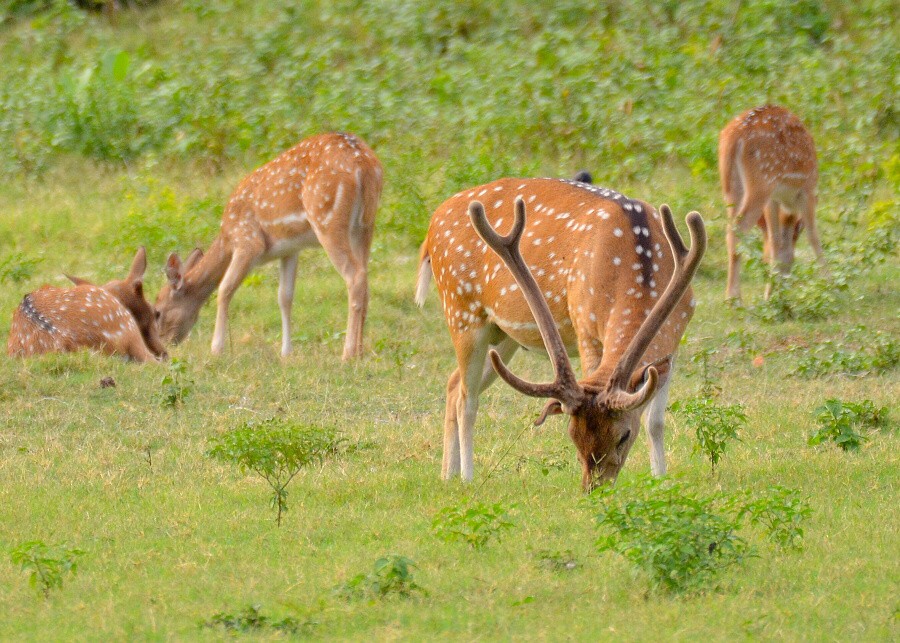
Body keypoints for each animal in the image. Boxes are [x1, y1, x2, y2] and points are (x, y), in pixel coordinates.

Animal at [156, 133, 382, 360]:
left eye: (157, 311)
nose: (163, 347)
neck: (226, 238)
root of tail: (363, 164)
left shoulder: (247, 241)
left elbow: (225, 289)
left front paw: (217, 348)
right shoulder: (290, 249)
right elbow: (285, 296)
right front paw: (286, 352)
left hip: (327, 218)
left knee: (355, 277)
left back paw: (348, 354)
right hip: (365, 225)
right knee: (365, 277)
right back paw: (360, 351)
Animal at [418, 179, 708, 490]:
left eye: (624, 436)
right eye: (572, 434)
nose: (594, 489)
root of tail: (432, 223)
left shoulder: (674, 338)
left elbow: (655, 421)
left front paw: (661, 480)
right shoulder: (586, 327)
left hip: (503, 337)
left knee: (453, 383)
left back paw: (447, 473)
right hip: (460, 310)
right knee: (466, 398)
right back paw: (467, 478)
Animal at [716, 104, 824, 300]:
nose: (786, 280)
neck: (788, 201)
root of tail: (735, 136)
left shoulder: (773, 199)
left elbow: (775, 240)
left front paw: (770, 295)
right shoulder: (808, 190)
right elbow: (813, 236)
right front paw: (831, 285)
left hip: (732, 186)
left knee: (730, 228)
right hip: (761, 182)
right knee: (738, 228)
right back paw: (734, 299)